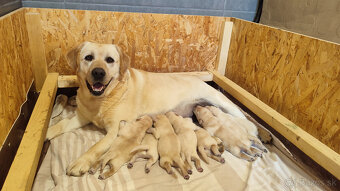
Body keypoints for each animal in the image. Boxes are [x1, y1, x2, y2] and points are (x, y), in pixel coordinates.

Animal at [46, 41, 268, 176]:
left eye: (110, 60)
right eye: (88, 58)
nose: (98, 72)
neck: (100, 100)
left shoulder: (114, 130)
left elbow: (97, 146)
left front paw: (81, 162)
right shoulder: (81, 117)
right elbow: (60, 125)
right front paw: (45, 132)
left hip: (222, 102)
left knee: (247, 119)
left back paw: (264, 136)